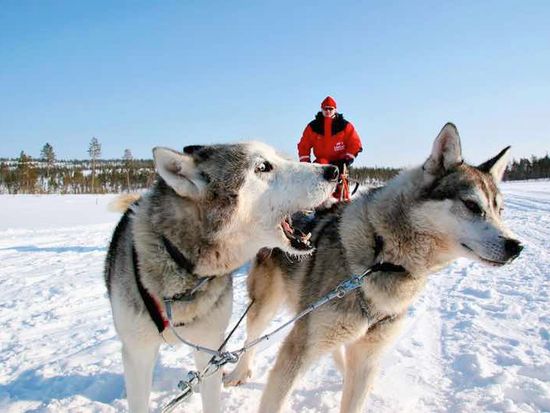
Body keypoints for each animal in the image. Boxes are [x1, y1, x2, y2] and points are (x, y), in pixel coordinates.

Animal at [225, 123, 528, 412]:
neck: (382, 255)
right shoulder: (298, 351)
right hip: (265, 304)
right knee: (252, 337)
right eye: (471, 205)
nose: (516, 246)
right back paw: (240, 372)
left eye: (499, 210)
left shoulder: (367, 356)